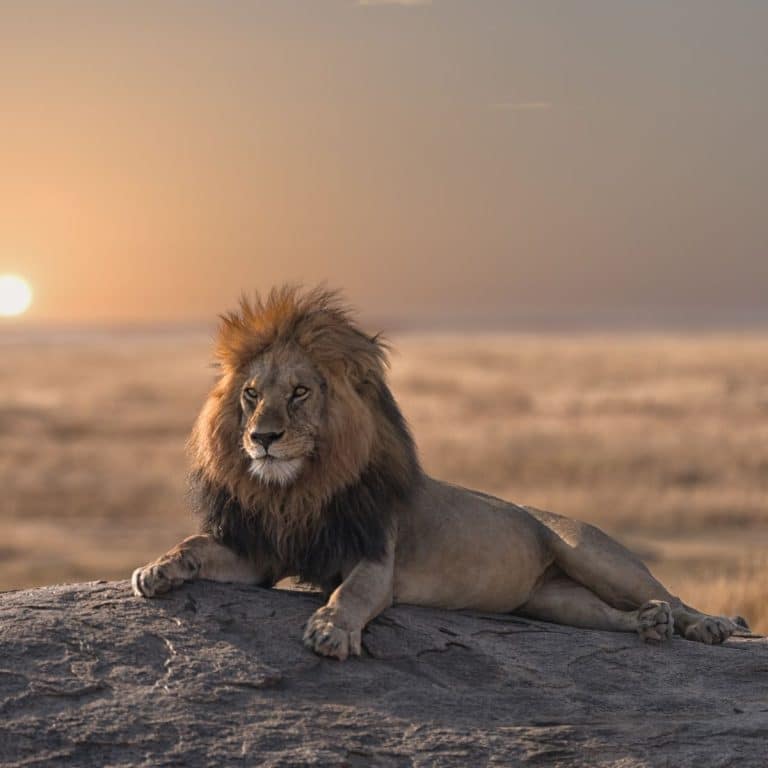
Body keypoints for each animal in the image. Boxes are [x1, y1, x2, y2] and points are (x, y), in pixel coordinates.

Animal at [132, 285, 748, 659]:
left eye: (301, 393)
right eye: (252, 395)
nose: (262, 438)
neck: (299, 489)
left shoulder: (375, 557)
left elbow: (351, 594)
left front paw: (331, 629)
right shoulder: (263, 553)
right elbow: (196, 545)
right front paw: (157, 569)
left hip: (592, 553)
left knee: (669, 594)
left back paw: (709, 625)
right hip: (550, 600)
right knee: (609, 615)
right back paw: (646, 626)